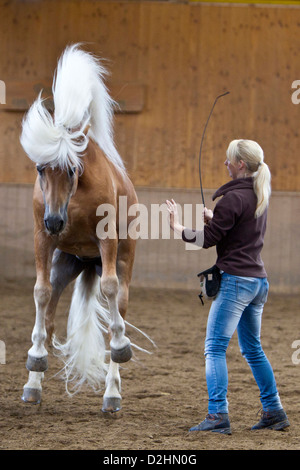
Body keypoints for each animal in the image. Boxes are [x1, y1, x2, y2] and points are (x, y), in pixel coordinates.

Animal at [19, 44, 139, 412]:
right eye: (40, 168)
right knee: (49, 314)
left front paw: (120, 349)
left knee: (118, 312)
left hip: (120, 261)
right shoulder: (41, 239)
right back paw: (34, 384)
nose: (56, 221)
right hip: (64, 266)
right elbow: (39, 294)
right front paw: (35, 361)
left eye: (72, 168)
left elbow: (111, 293)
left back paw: (112, 393)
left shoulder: (106, 239)